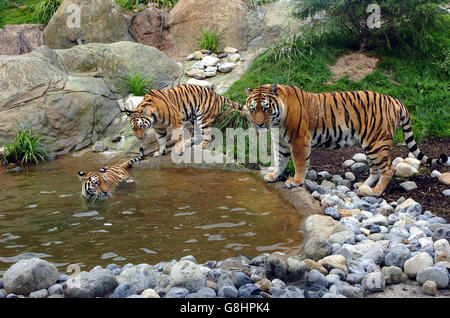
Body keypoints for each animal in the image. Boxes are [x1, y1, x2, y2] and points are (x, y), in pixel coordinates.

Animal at [244, 84, 448, 196]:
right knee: (375, 169)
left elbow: (300, 163)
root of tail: (396, 100)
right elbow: (280, 160)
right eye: (254, 108)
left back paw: (376, 192)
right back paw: (363, 186)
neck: (276, 122)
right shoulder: (281, 142)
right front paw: (274, 175)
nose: (259, 124)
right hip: (371, 144)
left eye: (266, 108)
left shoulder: (299, 141)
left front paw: (295, 181)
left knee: (389, 168)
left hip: (377, 143)